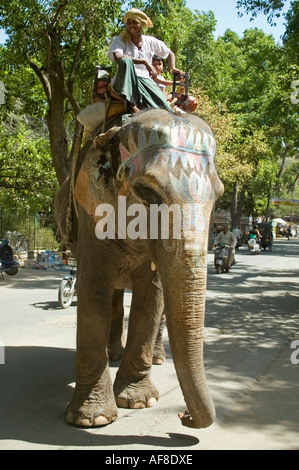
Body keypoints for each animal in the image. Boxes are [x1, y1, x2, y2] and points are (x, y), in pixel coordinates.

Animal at [55, 107, 225, 430]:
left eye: (219, 195)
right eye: (147, 192)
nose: (183, 416)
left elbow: (153, 295)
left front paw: (139, 402)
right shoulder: (89, 209)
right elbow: (92, 286)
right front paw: (92, 419)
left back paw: (156, 358)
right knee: (113, 298)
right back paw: (113, 354)